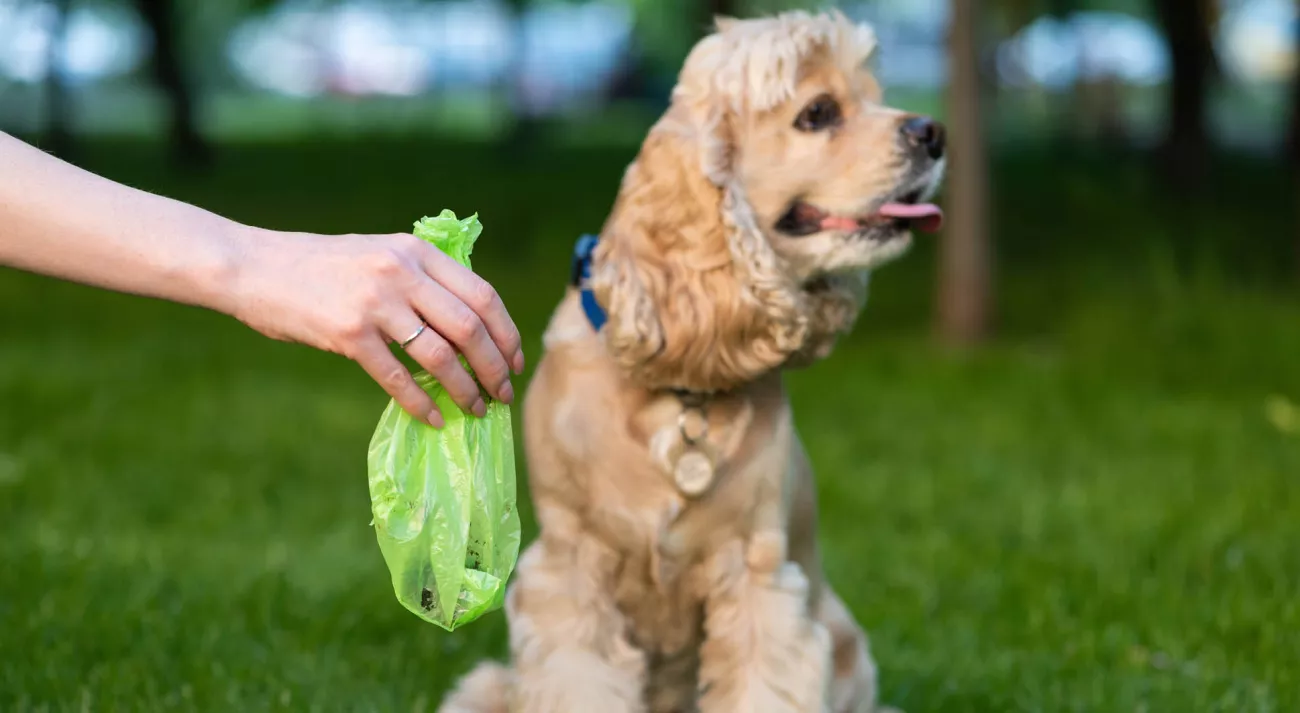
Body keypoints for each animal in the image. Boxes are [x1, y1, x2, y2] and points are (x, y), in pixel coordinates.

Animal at [441, 11, 941, 713]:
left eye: (872, 95)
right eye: (818, 112)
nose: (935, 132)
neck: (680, 387)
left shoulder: (758, 574)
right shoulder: (571, 567)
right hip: (489, 686)